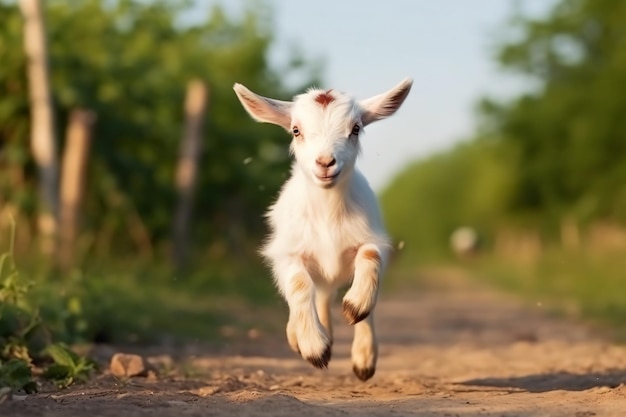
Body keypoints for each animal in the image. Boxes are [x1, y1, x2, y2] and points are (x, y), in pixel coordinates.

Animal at [232, 78, 412, 380]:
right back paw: (305, 335)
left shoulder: (373, 239)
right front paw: (314, 346)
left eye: (355, 128)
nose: (325, 163)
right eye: (296, 130)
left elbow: (370, 257)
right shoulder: (286, 252)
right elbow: (299, 284)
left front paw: (356, 307)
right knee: (318, 294)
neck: (328, 214)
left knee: (332, 299)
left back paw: (363, 358)